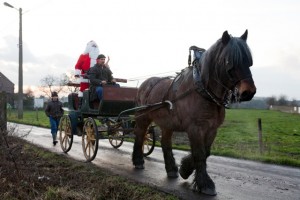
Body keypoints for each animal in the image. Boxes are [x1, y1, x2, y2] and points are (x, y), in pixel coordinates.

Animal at [132, 30, 256, 195]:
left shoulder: (212, 129)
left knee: (165, 142)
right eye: (229, 61)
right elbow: (199, 153)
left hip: (167, 123)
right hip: (143, 118)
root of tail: (144, 84)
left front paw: (185, 169)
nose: (249, 92)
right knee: (139, 136)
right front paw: (205, 183)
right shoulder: (195, 128)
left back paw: (171, 169)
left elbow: (206, 151)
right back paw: (138, 161)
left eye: (249, 61)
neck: (201, 90)